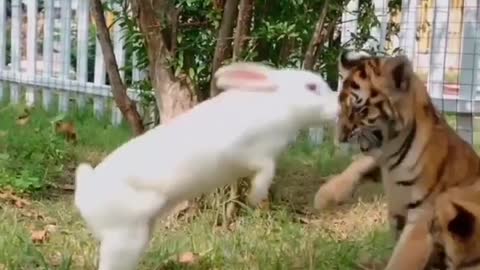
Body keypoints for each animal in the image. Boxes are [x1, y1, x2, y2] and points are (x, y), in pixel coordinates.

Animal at [74, 61, 338, 270]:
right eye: (311, 87)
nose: (338, 107)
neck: (279, 105)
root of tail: (85, 195)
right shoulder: (245, 152)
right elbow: (265, 169)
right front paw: (255, 198)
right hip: (124, 237)